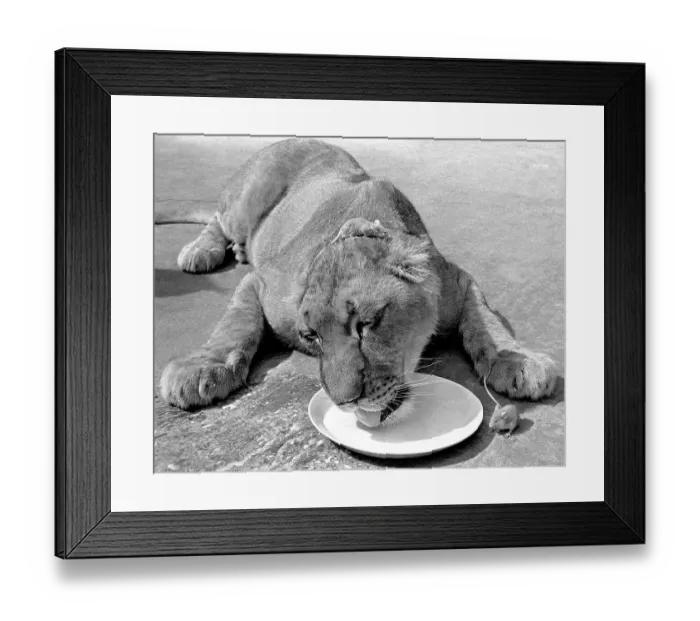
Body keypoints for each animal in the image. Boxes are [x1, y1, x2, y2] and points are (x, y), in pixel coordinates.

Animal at [160, 138, 557, 423]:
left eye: (367, 324)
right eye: (311, 335)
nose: (345, 403)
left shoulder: (457, 280)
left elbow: (484, 319)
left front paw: (516, 361)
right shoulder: (263, 283)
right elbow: (235, 324)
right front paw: (202, 368)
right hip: (246, 201)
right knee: (216, 219)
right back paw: (201, 251)